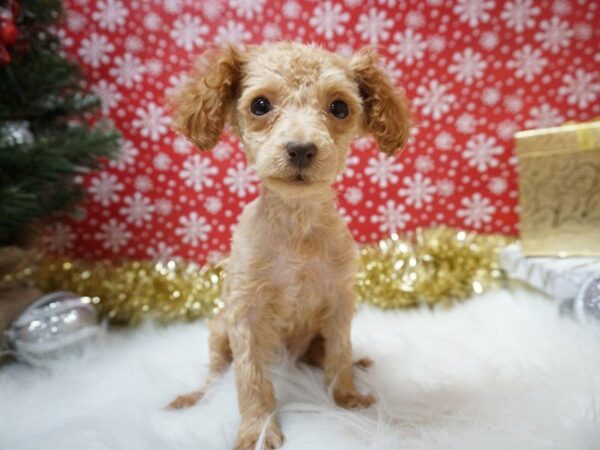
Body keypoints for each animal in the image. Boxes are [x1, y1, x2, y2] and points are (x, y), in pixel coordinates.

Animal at [169, 43, 410, 450]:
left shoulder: (339, 302)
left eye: (340, 108)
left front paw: (346, 397)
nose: (301, 149)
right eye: (260, 105)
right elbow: (250, 379)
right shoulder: (245, 315)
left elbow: (339, 354)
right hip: (219, 329)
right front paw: (257, 431)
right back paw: (192, 397)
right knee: (215, 374)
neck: (297, 225)